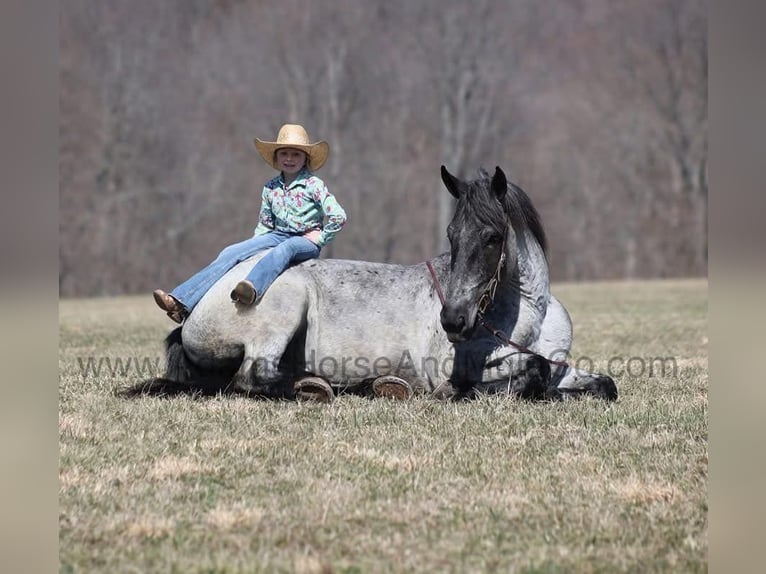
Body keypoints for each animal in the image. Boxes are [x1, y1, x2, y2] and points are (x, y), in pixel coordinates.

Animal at [128, 166, 617, 402]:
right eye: (452, 235)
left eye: (493, 237)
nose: (453, 321)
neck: (523, 319)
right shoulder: (449, 369)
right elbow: (527, 376)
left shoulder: (561, 365)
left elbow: (600, 383)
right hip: (286, 306)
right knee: (253, 378)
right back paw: (332, 388)